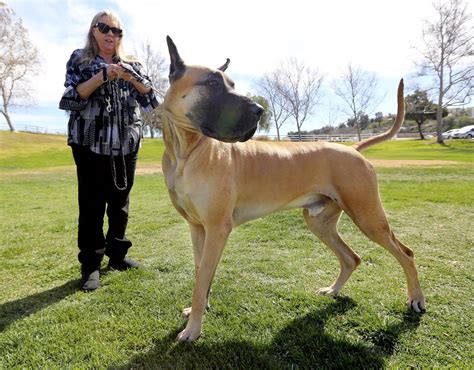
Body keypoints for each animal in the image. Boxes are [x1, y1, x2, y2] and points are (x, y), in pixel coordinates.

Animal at [160, 36, 426, 342]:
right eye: (213, 83)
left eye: (232, 84)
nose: (259, 110)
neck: (186, 152)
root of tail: (353, 148)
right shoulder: (198, 228)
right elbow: (201, 274)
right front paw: (198, 311)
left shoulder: (217, 228)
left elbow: (202, 278)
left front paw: (193, 329)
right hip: (320, 222)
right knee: (351, 258)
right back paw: (333, 290)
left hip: (368, 216)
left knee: (406, 253)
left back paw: (416, 299)